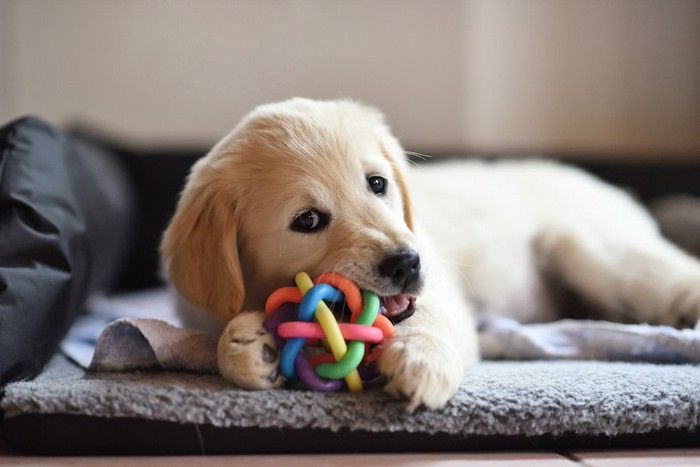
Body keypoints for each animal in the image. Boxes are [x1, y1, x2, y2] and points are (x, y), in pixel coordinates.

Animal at [163, 98, 700, 410]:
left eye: (377, 183)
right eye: (308, 221)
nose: (406, 263)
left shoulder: (440, 288)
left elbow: (426, 319)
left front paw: (421, 361)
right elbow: (219, 338)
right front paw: (247, 345)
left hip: (591, 250)